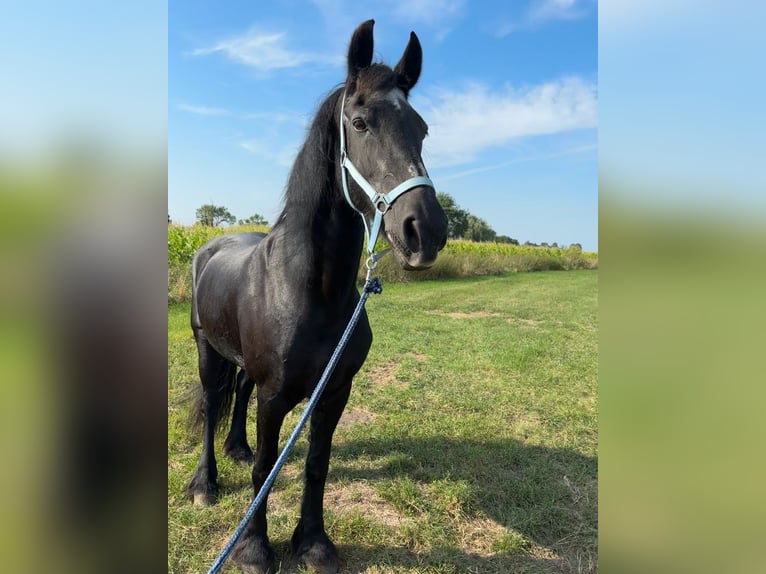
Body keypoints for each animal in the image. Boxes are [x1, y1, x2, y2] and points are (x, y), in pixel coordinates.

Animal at [188, 19, 450, 574]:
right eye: (360, 122)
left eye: (421, 129)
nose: (425, 231)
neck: (310, 291)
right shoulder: (274, 395)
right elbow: (268, 468)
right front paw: (253, 549)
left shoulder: (334, 392)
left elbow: (315, 463)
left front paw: (312, 543)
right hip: (205, 350)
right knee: (214, 401)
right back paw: (205, 483)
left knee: (237, 393)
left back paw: (236, 448)